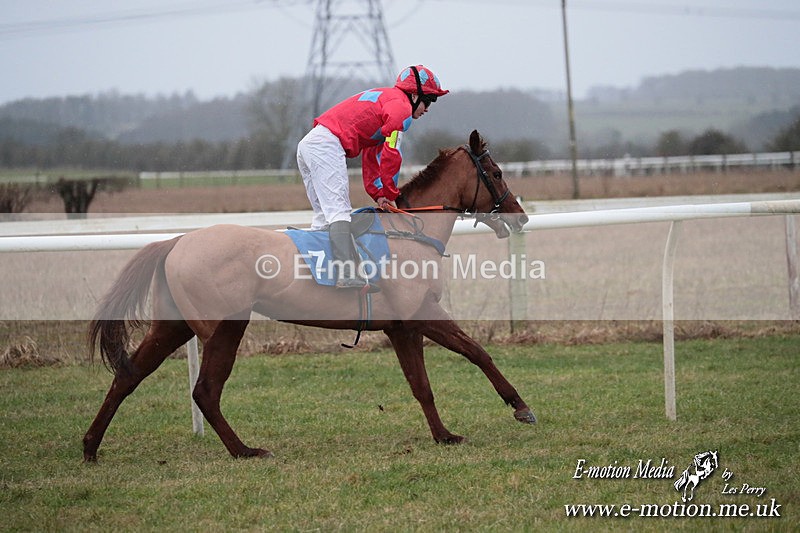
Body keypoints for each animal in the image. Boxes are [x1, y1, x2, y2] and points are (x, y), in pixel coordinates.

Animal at [83, 130, 536, 462]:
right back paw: (244, 450)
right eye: (496, 172)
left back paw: (90, 446)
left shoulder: (399, 328)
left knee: (127, 376)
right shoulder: (419, 313)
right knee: (205, 391)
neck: (410, 233)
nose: (521, 217)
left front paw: (443, 435)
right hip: (226, 326)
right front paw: (519, 406)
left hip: (172, 325)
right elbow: (476, 352)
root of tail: (177, 241)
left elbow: (421, 385)